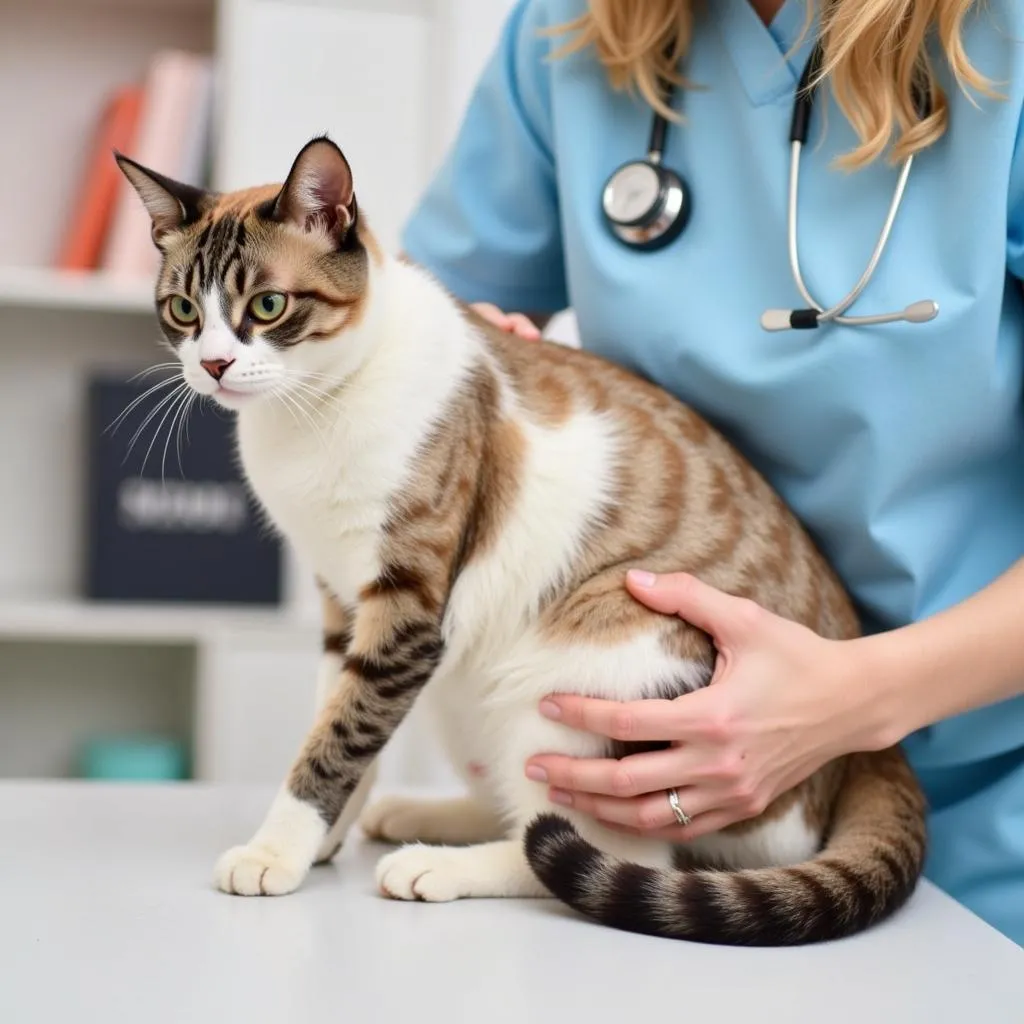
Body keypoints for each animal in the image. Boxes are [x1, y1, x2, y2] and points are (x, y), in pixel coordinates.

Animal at [114, 134, 929, 942]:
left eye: (269, 305)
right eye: (183, 309)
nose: (214, 365)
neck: (310, 412)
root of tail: (857, 758)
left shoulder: (408, 609)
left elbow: (338, 738)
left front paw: (276, 850)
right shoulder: (341, 599)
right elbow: (336, 719)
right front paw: (323, 837)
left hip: (581, 674)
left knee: (596, 850)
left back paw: (438, 866)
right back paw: (421, 816)